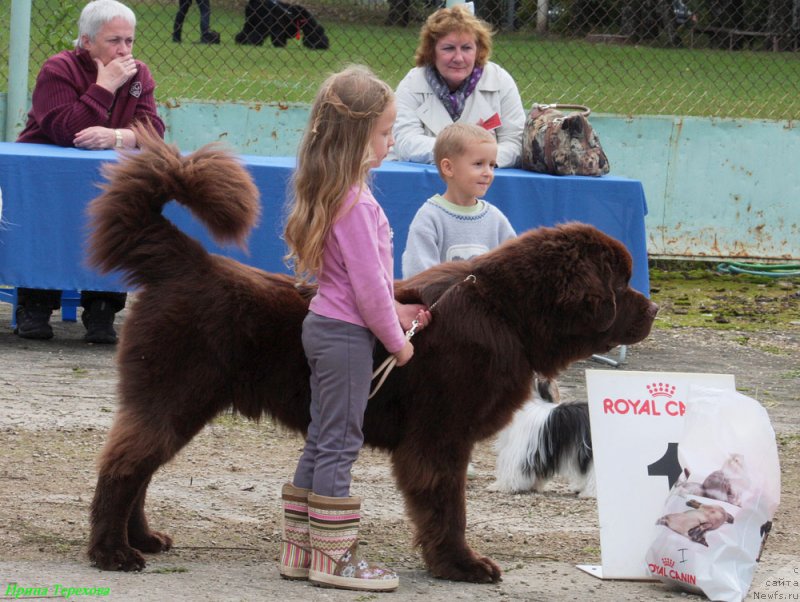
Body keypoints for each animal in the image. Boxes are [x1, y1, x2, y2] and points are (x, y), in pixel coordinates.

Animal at [84, 130, 660, 580]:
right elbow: (448, 506)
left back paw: (142, 539)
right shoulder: (440, 437)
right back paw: (112, 553)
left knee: (138, 468)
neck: (505, 310)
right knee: (124, 467)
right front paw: (460, 565)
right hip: (174, 395)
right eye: (621, 283)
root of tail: (187, 262)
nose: (653, 308)